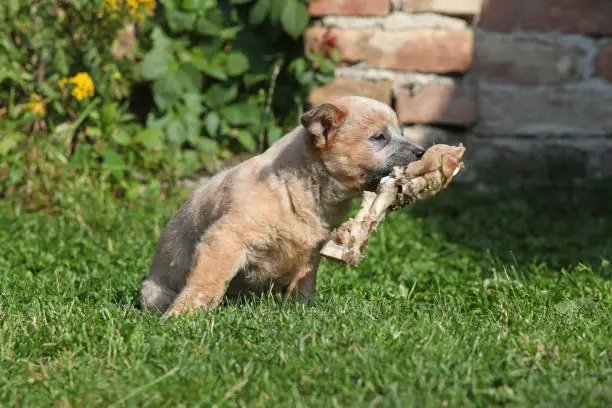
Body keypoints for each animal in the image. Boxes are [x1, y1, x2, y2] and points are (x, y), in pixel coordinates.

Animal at [140, 96, 426, 318]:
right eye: (379, 137)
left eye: (401, 132)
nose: (422, 152)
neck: (297, 189)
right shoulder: (225, 238)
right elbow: (207, 281)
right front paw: (183, 315)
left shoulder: (310, 252)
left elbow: (304, 284)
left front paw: (304, 310)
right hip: (153, 292)